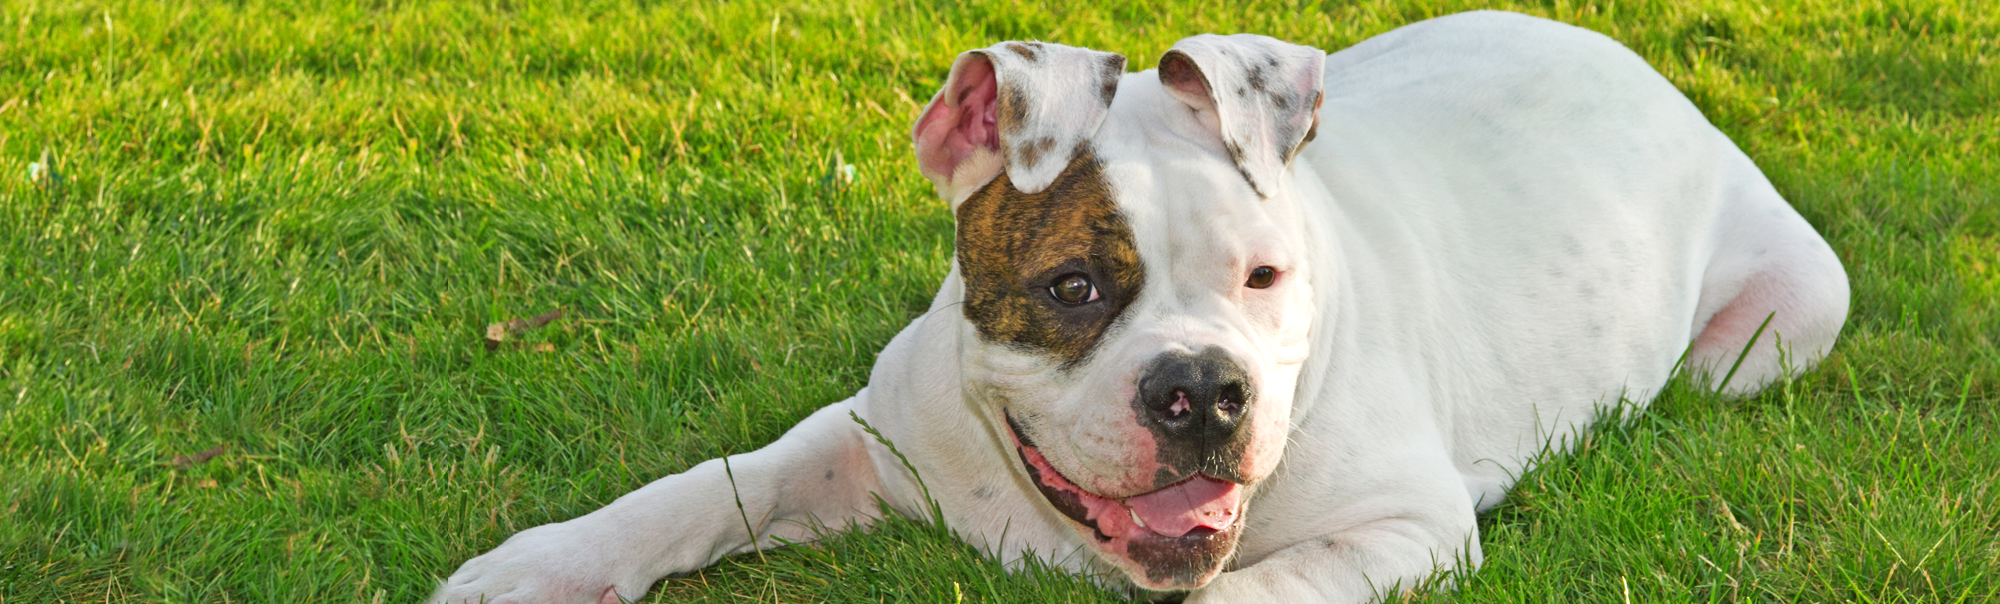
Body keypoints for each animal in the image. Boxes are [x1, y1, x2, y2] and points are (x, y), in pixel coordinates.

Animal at [430, 10, 1848, 604]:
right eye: (1073, 289)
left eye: (1264, 279)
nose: (1200, 391)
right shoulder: (867, 440)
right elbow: (712, 483)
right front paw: (542, 567)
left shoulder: (1406, 526)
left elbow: (1257, 589)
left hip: (1782, 323)